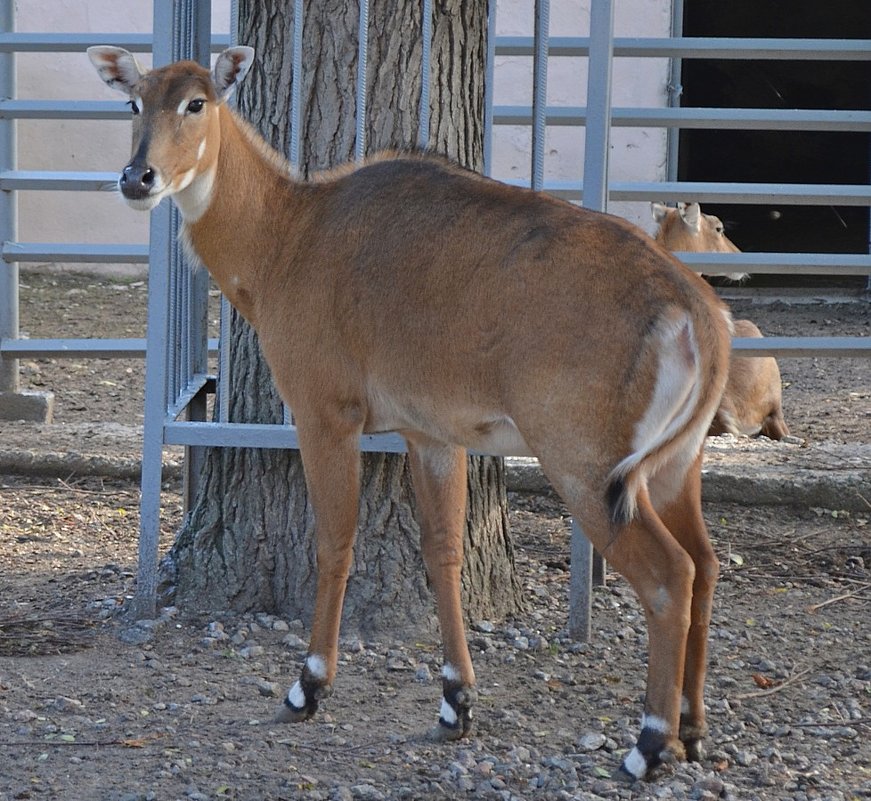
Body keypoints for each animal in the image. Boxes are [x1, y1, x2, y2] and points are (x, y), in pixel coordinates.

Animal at [92, 45, 736, 780]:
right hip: (675, 464)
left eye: (197, 102)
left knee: (669, 576)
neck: (288, 235)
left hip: (585, 465)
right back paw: (693, 726)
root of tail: (700, 314)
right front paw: (455, 702)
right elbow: (443, 552)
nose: (137, 177)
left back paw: (650, 742)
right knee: (706, 563)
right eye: (133, 101)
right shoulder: (430, 433)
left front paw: (307, 684)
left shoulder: (324, 411)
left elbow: (334, 540)